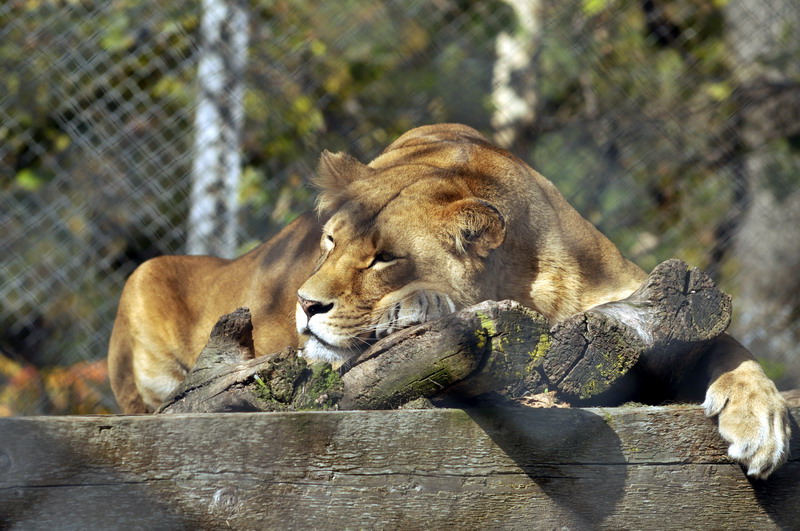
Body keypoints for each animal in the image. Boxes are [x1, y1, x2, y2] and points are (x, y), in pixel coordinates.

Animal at [108, 123, 789, 478]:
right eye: (328, 242)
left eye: (383, 259)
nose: (304, 304)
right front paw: (419, 308)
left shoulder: (641, 295)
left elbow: (730, 346)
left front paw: (762, 422)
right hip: (146, 275)